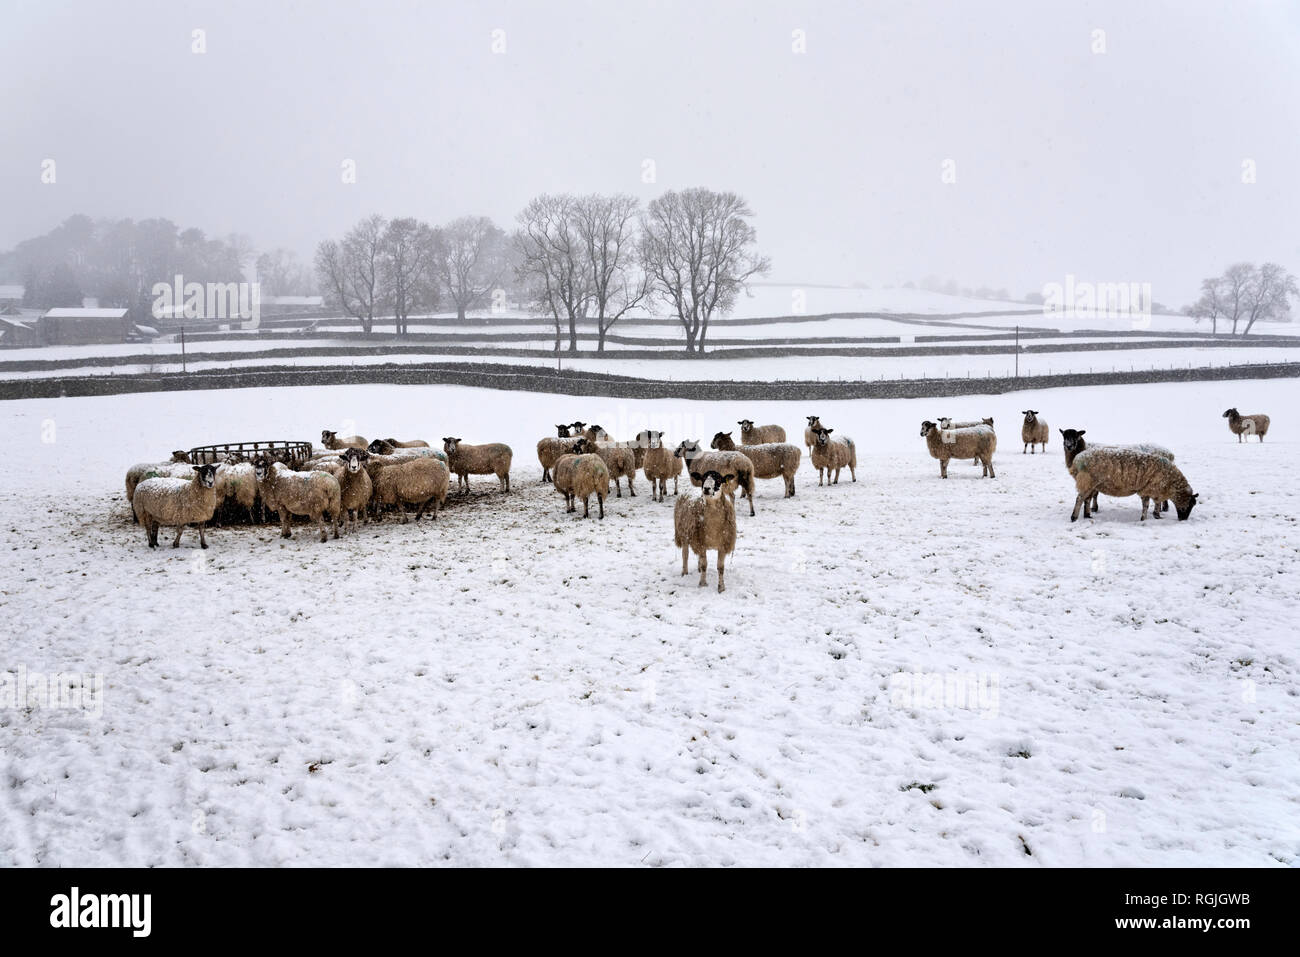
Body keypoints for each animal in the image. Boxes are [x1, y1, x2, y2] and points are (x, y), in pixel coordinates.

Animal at [1066, 447, 1196, 522]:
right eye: (1191, 504)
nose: (1183, 520)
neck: (1171, 481)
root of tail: (1077, 460)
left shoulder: (1149, 489)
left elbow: (1150, 503)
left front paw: (1153, 516)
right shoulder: (1152, 488)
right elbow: (1148, 505)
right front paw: (1147, 518)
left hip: (1091, 484)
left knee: (1086, 499)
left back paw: (1087, 515)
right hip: (1087, 481)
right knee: (1080, 499)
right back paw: (1074, 517)